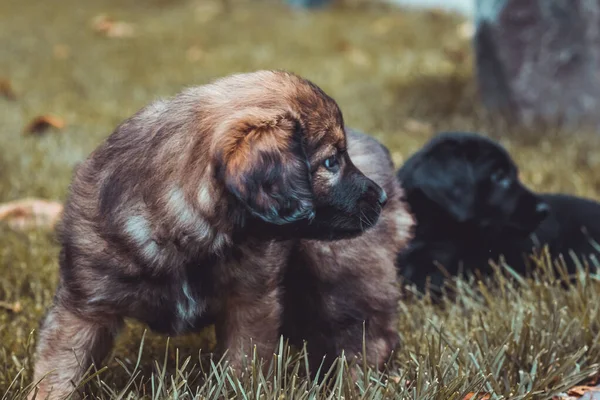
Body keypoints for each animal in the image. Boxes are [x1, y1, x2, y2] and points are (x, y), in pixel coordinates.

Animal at [29, 70, 412, 398]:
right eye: (331, 162)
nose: (380, 197)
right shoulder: (84, 308)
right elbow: (58, 370)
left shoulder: (251, 303)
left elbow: (242, 365)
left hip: (341, 268)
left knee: (365, 337)